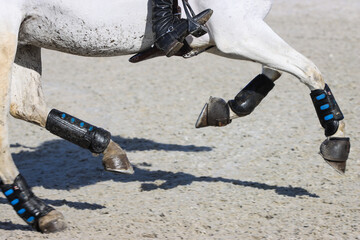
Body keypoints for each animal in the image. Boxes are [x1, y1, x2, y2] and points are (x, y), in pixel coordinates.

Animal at [0, 0, 348, 233]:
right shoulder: (237, 32)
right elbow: (309, 70)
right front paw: (336, 137)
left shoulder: (221, 36)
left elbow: (276, 69)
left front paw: (229, 107)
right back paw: (38, 210)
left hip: (26, 37)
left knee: (25, 104)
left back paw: (106, 148)